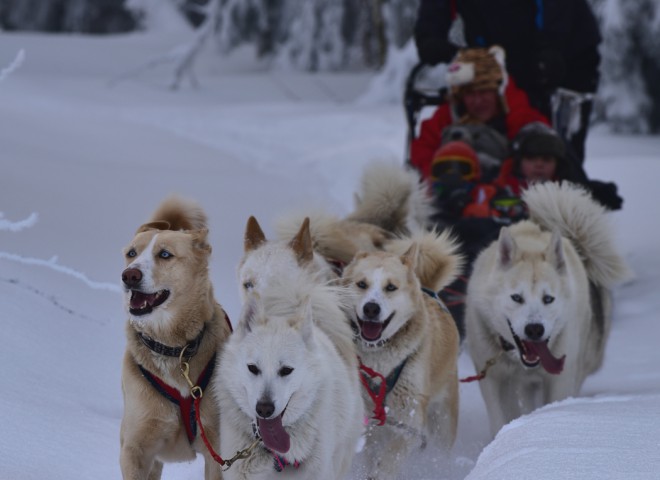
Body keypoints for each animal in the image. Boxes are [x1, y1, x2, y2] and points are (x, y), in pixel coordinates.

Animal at [342, 231, 462, 478]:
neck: (379, 362)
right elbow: (373, 454)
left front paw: (382, 473)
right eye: (361, 284)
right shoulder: (370, 423)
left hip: (443, 420)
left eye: (390, 287)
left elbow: (390, 459)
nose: (371, 308)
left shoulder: (410, 421)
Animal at [464, 182, 628, 436]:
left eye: (548, 298)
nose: (534, 329)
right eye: (516, 297)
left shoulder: (559, 379)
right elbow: (501, 418)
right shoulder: (494, 380)